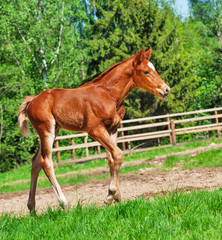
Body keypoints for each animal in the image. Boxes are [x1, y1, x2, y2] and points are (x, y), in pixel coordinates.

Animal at [18, 47, 170, 213]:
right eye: (146, 71)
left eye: (154, 68)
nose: (166, 89)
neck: (108, 94)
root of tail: (32, 100)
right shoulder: (95, 130)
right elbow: (118, 154)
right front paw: (110, 194)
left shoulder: (113, 129)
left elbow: (112, 159)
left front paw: (116, 196)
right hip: (47, 130)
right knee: (45, 162)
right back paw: (63, 203)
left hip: (53, 131)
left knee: (35, 162)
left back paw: (32, 208)